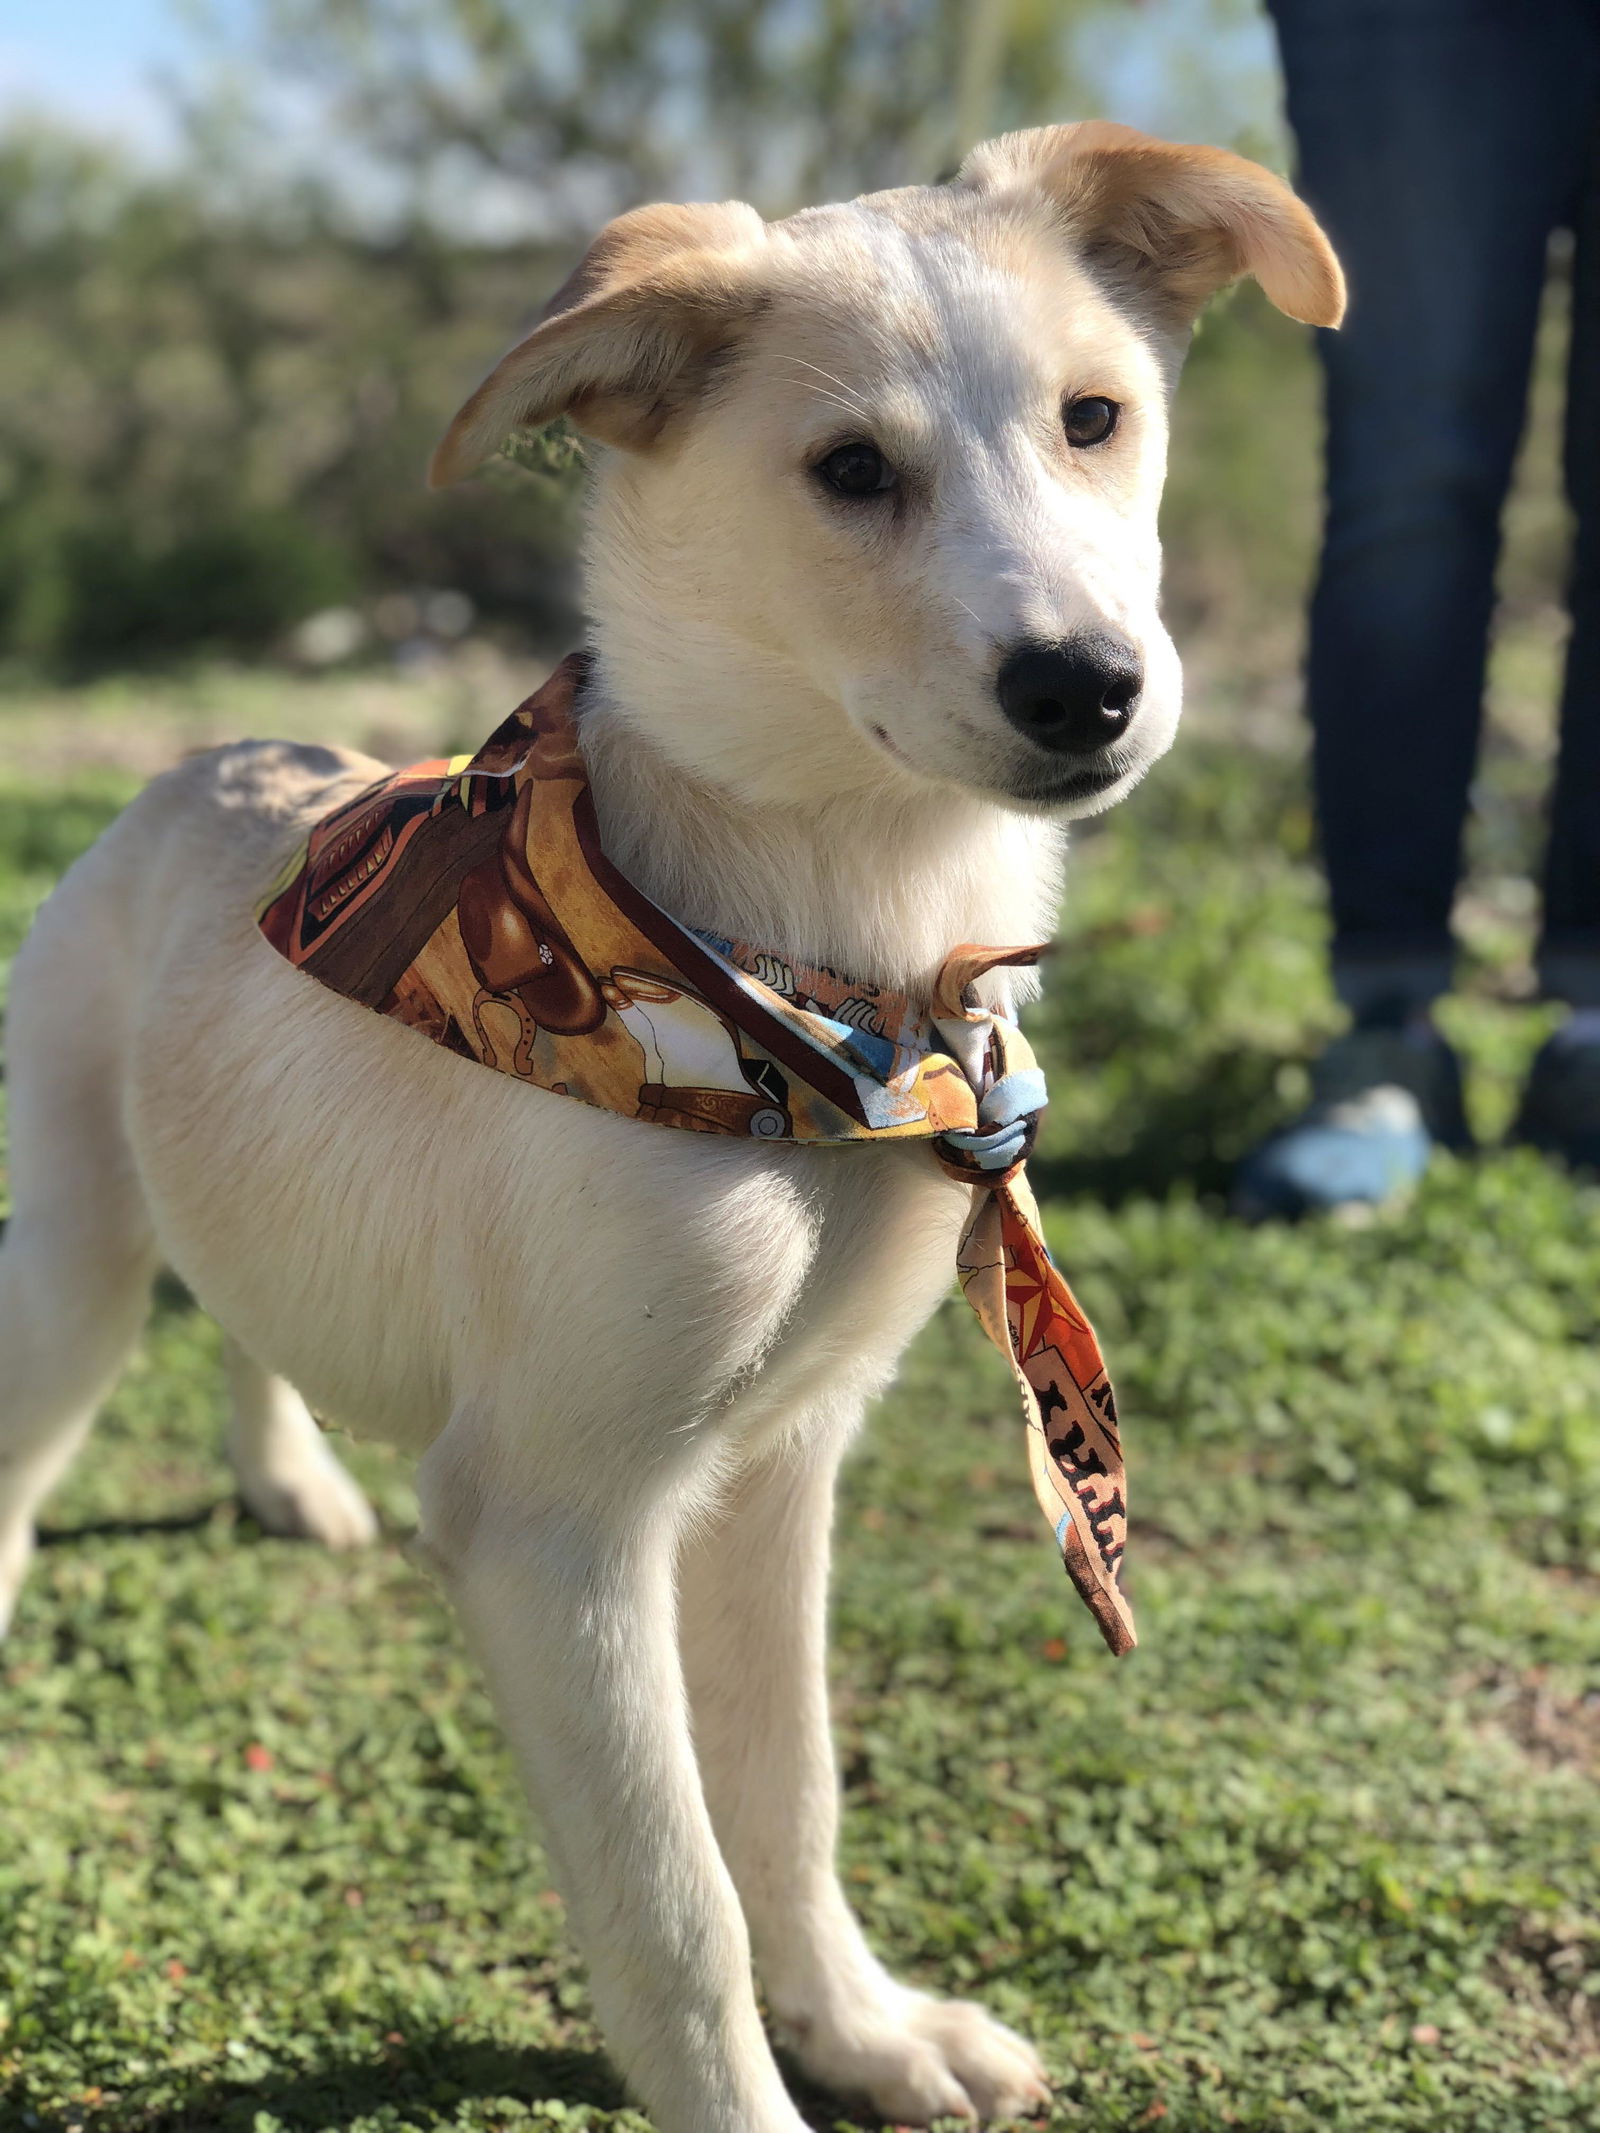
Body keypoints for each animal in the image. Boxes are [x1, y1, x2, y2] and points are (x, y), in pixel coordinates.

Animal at [0, 133, 1339, 2133]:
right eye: (850, 470)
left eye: (1097, 417)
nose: (1087, 686)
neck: (813, 994)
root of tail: (208, 754)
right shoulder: (552, 1524)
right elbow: (677, 1891)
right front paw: (759, 2087)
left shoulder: (784, 1459)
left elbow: (788, 1799)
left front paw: (868, 2029)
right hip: (78, 1245)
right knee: (42, 1403)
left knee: (248, 1310)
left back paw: (290, 1478)